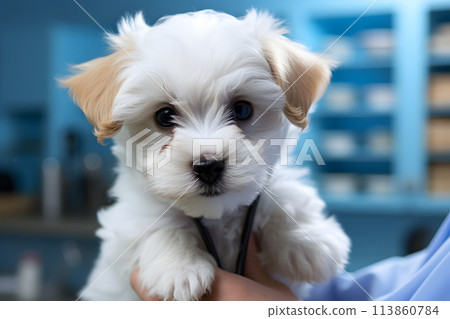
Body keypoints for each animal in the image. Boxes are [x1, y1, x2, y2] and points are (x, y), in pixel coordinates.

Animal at [62, 8, 352, 302]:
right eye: (164, 116)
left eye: (242, 109)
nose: (208, 166)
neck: (217, 216)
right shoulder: (129, 220)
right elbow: (153, 222)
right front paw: (180, 270)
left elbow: (283, 195)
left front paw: (306, 241)